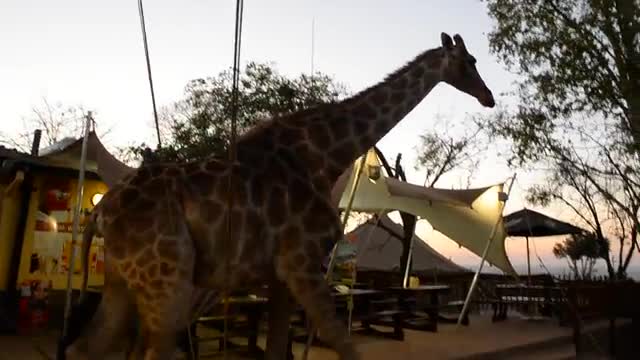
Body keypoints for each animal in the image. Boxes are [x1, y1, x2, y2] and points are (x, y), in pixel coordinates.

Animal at [66, 32, 496, 358]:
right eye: (469, 60)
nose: (488, 97)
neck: (325, 154)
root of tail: (101, 212)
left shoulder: (279, 275)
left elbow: (278, 348)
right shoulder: (301, 263)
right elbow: (343, 342)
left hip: (125, 282)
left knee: (87, 348)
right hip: (166, 283)